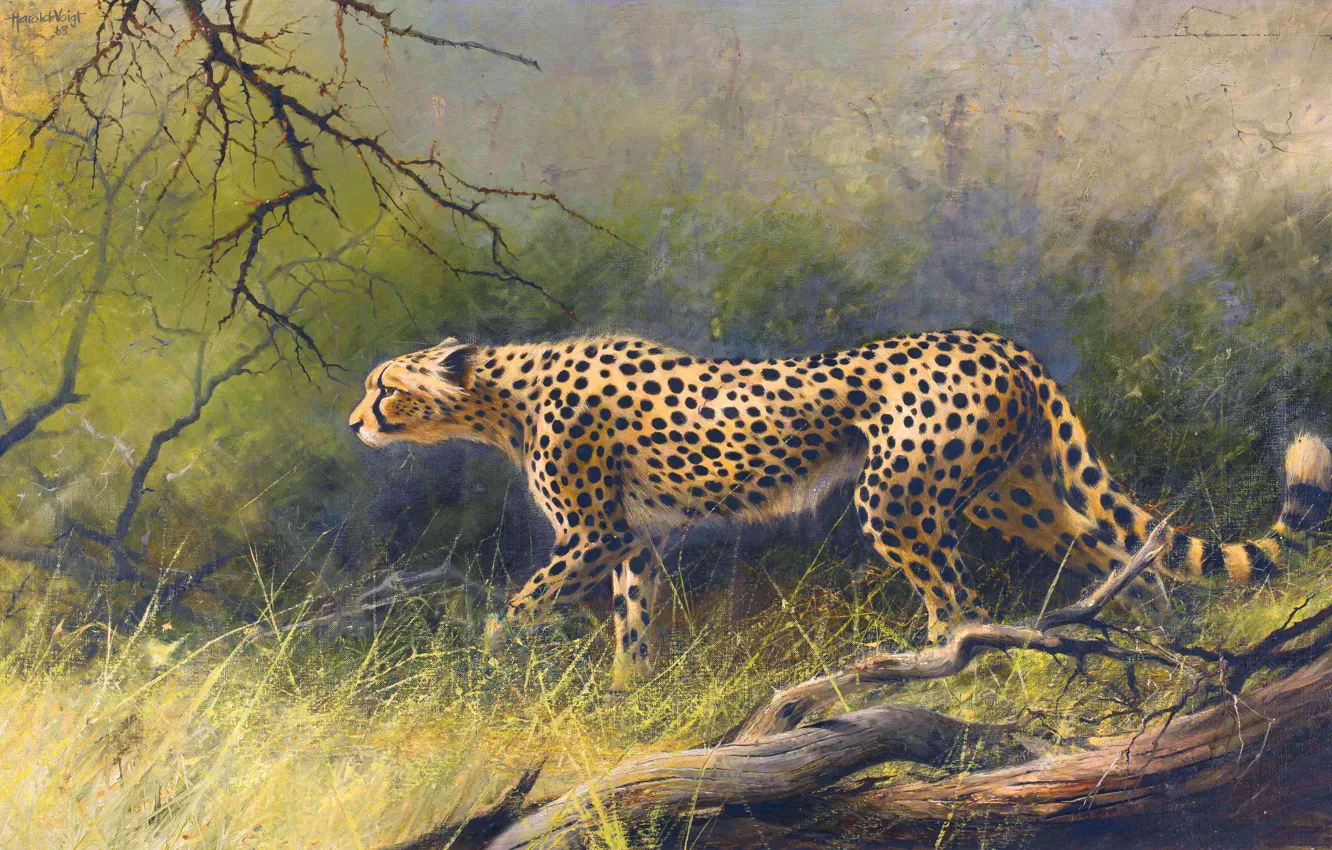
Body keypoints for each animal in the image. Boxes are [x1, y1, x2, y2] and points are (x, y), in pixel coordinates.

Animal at [350, 331, 1331, 689]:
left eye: (384, 386)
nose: (355, 420)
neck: (502, 394)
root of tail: (997, 340)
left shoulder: (592, 535)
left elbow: (514, 608)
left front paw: (481, 666)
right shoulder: (632, 541)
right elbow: (633, 623)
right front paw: (629, 698)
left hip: (898, 504)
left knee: (961, 607)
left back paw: (940, 674)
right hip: (1014, 496)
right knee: (1124, 559)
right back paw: (1166, 645)